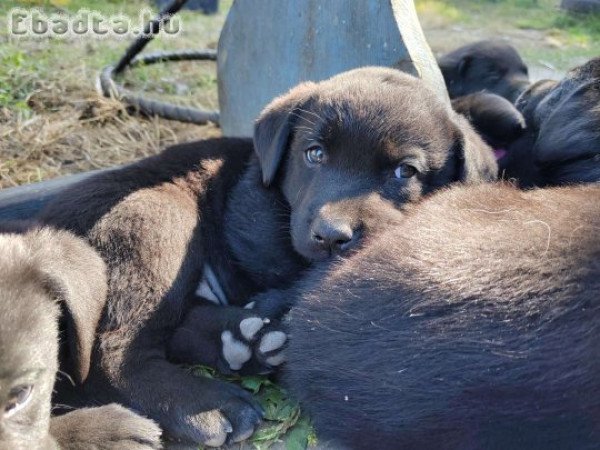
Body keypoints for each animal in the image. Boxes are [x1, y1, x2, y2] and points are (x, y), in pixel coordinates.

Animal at [39, 66, 494, 446]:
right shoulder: (253, 219)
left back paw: (242, 341)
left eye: (406, 171)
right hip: (157, 215)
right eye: (314, 154)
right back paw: (207, 403)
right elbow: (295, 273)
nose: (332, 235)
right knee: (109, 357)